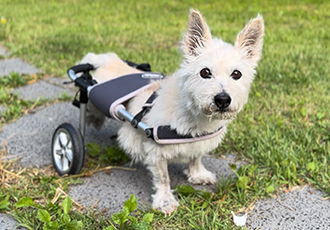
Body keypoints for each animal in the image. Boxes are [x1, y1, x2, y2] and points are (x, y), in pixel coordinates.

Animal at [81, 9, 264, 216]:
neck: (194, 115)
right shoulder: (156, 152)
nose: (223, 100)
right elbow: (163, 179)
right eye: (205, 72)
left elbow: (196, 158)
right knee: (89, 109)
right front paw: (165, 201)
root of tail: (109, 59)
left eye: (236, 74)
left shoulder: (198, 141)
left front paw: (197, 174)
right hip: (93, 97)